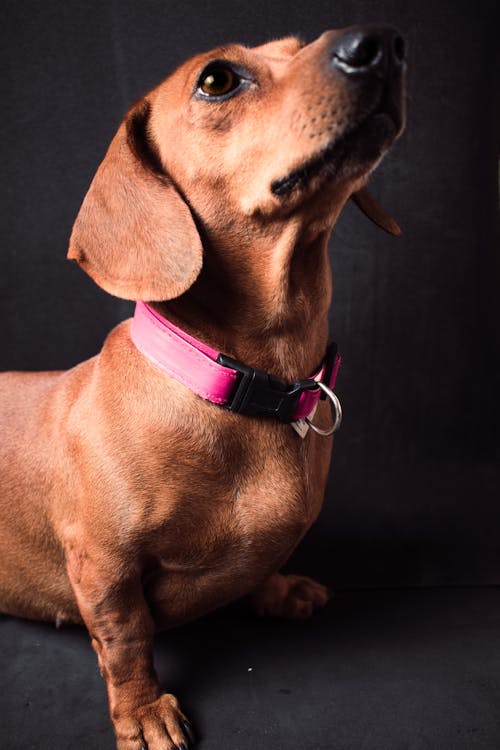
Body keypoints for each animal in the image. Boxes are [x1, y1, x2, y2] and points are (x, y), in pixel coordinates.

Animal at [0, 25, 406, 750]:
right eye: (217, 79)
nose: (381, 44)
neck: (244, 391)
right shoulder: (102, 563)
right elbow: (126, 637)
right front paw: (143, 711)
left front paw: (277, 591)